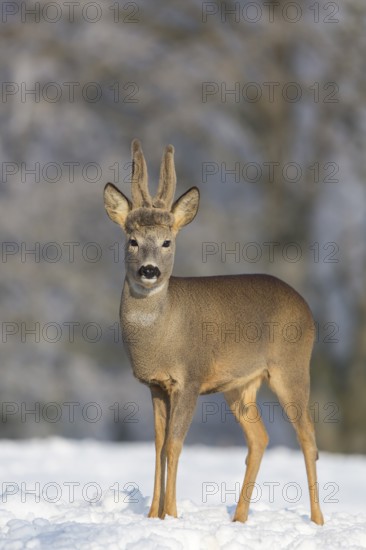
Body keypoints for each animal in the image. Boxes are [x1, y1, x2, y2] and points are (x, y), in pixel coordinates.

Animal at [103, 138, 324, 528]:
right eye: (132, 240)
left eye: (167, 242)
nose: (149, 271)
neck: (160, 336)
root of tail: (305, 307)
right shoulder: (155, 384)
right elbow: (158, 444)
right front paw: (152, 515)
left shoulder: (189, 377)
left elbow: (175, 444)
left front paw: (172, 515)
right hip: (240, 385)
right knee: (260, 437)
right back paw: (239, 518)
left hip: (291, 367)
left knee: (309, 438)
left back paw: (316, 521)